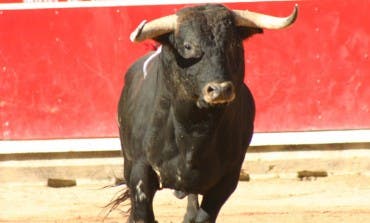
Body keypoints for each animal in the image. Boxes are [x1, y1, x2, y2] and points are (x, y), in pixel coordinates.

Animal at [114, 3, 296, 223]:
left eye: (233, 44)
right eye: (188, 46)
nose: (220, 89)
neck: (194, 129)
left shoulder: (229, 177)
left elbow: (204, 216)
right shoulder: (140, 170)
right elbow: (142, 213)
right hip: (128, 162)